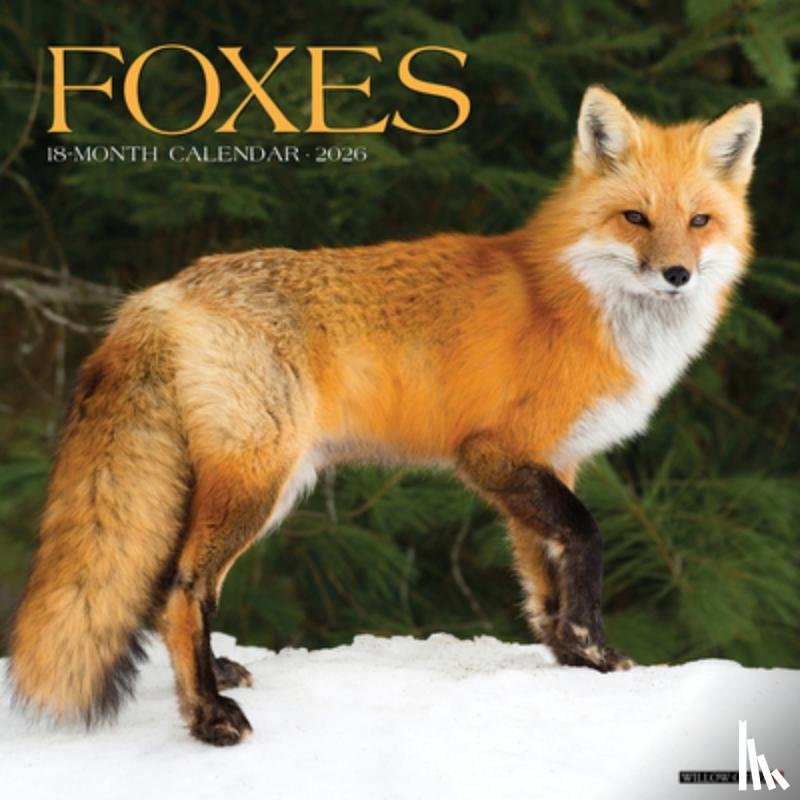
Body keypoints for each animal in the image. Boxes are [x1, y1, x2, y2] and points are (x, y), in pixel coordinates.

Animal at [8, 86, 762, 745]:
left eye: (699, 222)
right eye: (636, 218)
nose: (676, 275)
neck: (580, 302)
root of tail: (159, 293)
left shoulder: (548, 465)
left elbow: (544, 582)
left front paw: (573, 656)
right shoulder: (494, 453)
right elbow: (586, 539)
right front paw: (596, 648)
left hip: (258, 485)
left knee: (177, 589)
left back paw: (209, 678)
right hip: (256, 482)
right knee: (181, 589)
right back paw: (208, 716)